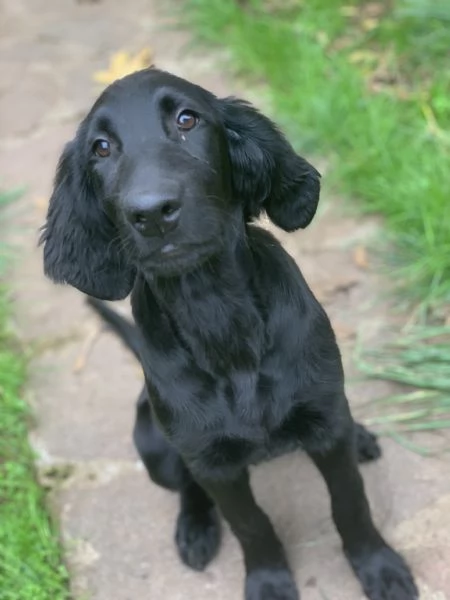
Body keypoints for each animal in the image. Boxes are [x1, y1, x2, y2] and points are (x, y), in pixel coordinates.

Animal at [40, 68, 416, 596]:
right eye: (101, 148)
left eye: (186, 120)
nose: (151, 213)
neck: (218, 314)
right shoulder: (213, 463)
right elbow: (250, 524)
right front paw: (269, 581)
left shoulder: (325, 425)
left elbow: (350, 503)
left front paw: (378, 566)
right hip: (155, 450)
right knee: (188, 490)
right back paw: (195, 528)